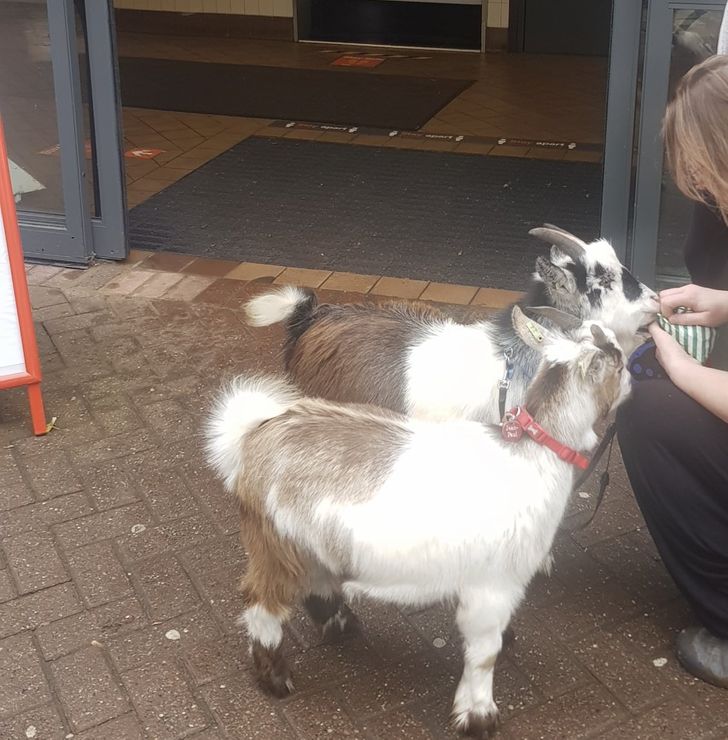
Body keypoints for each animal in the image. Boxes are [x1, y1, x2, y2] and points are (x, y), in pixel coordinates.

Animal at [206, 304, 632, 736]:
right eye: (616, 358)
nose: (632, 374)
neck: (531, 453)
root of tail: (253, 435)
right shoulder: (494, 585)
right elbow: (484, 654)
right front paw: (478, 717)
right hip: (276, 543)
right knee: (261, 602)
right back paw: (275, 678)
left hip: (309, 543)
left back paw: (341, 624)